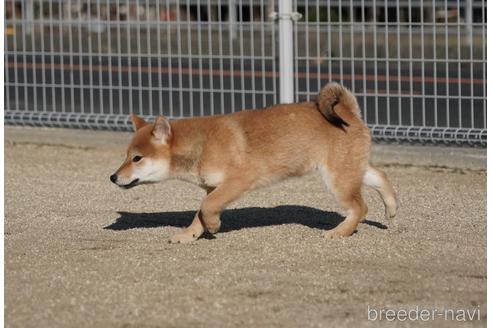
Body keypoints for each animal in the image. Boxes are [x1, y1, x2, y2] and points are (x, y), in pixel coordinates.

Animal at [110, 83, 396, 242]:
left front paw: (212, 227)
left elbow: (207, 207)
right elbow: (200, 211)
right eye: (125, 155)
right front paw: (189, 235)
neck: (201, 144)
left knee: (359, 208)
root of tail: (348, 111)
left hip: (337, 178)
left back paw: (340, 232)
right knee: (380, 177)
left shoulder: (237, 180)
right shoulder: (213, 187)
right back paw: (391, 208)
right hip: (350, 170)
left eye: (137, 158)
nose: (113, 177)